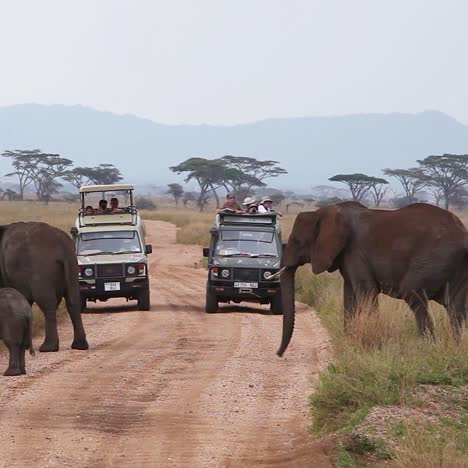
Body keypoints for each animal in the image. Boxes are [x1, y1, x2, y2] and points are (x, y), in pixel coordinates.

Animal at [0, 222, 89, 352]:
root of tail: (63, 244)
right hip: (72, 265)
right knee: (73, 301)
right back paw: (80, 346)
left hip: (40, 268)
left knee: (48, 304)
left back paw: (48, 347)